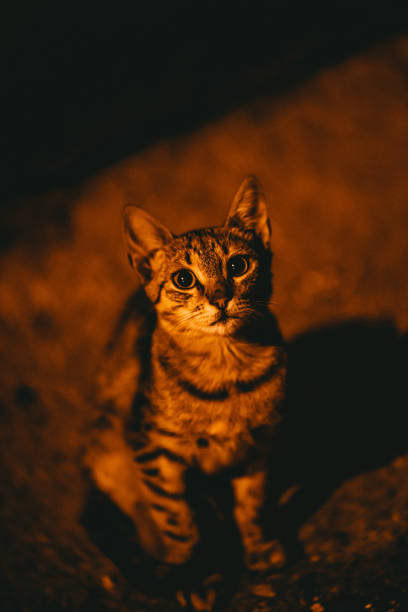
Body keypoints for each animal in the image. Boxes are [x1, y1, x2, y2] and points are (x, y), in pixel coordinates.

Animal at [83, 175, 286, 608]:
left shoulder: (258, 445)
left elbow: (252, 504)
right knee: (140, 511)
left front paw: (258, 548)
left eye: (238, 266)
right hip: (109, 445)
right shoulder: (153, 449)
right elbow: (177, 520)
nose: (221, 297)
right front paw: (194, 575)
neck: (227, 374)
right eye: (183, 279)